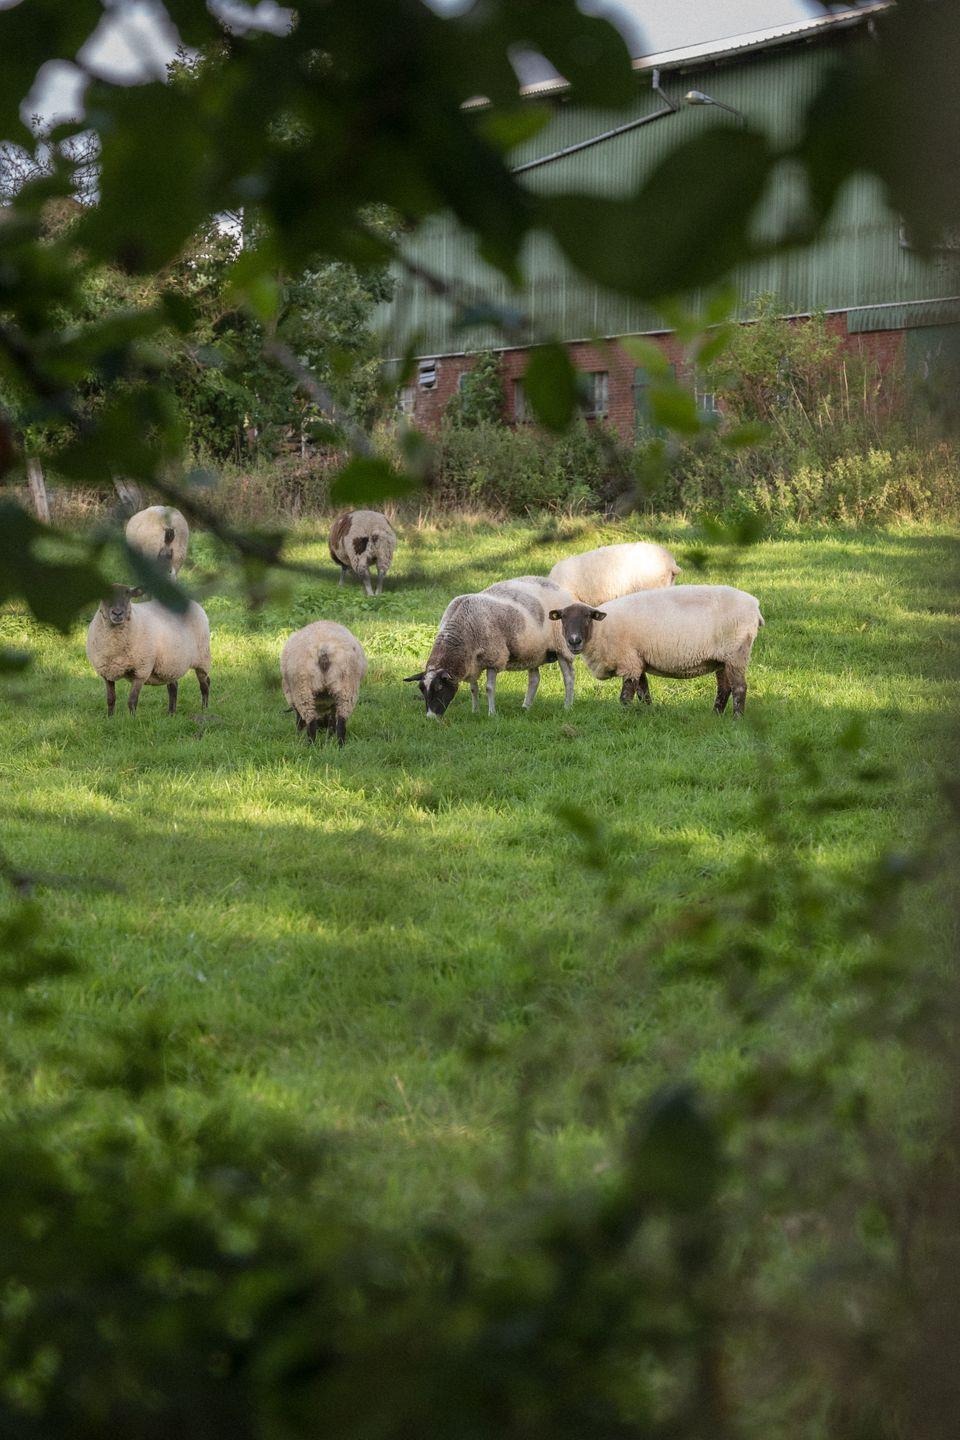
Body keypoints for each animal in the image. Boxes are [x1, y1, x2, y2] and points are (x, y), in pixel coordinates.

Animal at [86, 584, 211, 716]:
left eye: (128, 594)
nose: (117, 613)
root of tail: (193, 603)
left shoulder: (141, 670)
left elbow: (132, 701)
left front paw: (132, 719)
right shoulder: (106, 673)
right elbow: (110, 699)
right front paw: (110, 718)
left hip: (203, 658)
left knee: (205, 684)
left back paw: (205, 709)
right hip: (171, 663)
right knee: (173, 686)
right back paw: (171, 713)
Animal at [404, 576, 577, 717]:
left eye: (440, 687)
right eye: (421, 689)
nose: (431, 717)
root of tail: (559, 587)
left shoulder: (494, 657)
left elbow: (489, 688)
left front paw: (491, 713)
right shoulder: (471, 662)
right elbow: (473, 688)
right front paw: (475, 711)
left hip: (561, 646)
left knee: (568, 678)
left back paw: (567, 706)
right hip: (534, 651)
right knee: (534, 680)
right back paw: (526, 707)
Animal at [549, 585, 764, 717]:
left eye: (587, 617)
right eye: (563, 618)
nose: (574, 641)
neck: (601, 629)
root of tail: (755, 605)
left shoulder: (629, 661)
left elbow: (626, 696)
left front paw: (624, 716)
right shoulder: (637, 660)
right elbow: (644, 692)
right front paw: (648, 713)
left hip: (737, 653)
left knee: (739, 688)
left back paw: (736, 719)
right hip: (723, 659)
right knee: (724, 688)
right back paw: (715, 715)